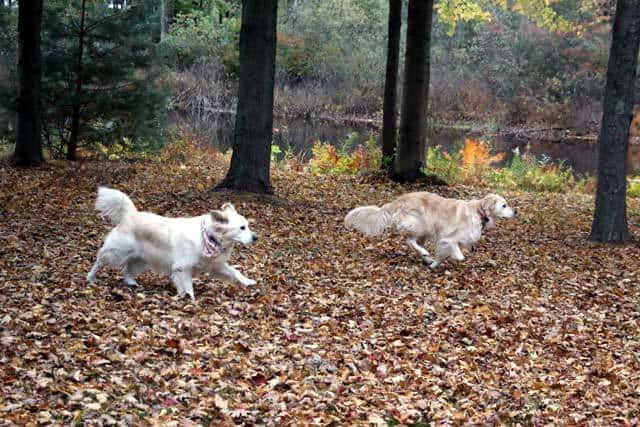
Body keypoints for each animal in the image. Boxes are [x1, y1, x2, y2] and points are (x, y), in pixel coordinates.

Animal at [87, 187, 258, 300]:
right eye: (242, 228)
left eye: (248, 225)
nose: (256, 238)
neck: (209, 237)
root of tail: (131, 214)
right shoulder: (182, 267)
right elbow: (188, 286)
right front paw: (190, 299)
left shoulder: (215, 266)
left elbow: (236, 272)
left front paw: (248, 281)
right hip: (116, 253)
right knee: (100, 261)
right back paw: (90, 278)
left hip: (143, 260)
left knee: (127, 270)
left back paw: (132, 283)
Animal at [344, 193, 516, 270]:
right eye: (504, 205)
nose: (516, 212)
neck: (479, 212)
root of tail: (397, 200)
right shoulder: (449, 239)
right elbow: (458, 254)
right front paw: (452, 258)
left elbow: (442, 255)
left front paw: (433, 264)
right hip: (420, 225)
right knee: (409, 241)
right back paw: (425, 253)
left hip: (424, 232)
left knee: (414, 244)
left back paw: (426, 257)